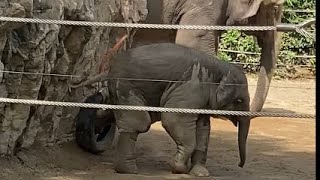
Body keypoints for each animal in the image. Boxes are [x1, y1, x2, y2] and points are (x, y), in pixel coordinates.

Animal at [71, 43, 251, 176]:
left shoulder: (201, 100)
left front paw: (200, 173)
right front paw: (180, 169)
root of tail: (109, 69)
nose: (240, 165)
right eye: (239, 100)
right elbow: (173, 120)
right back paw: (129, 170)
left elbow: (203, 129)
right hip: (126, 87)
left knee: (110, 113)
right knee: (138, 122)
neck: (218, 67)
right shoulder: (190, 89)